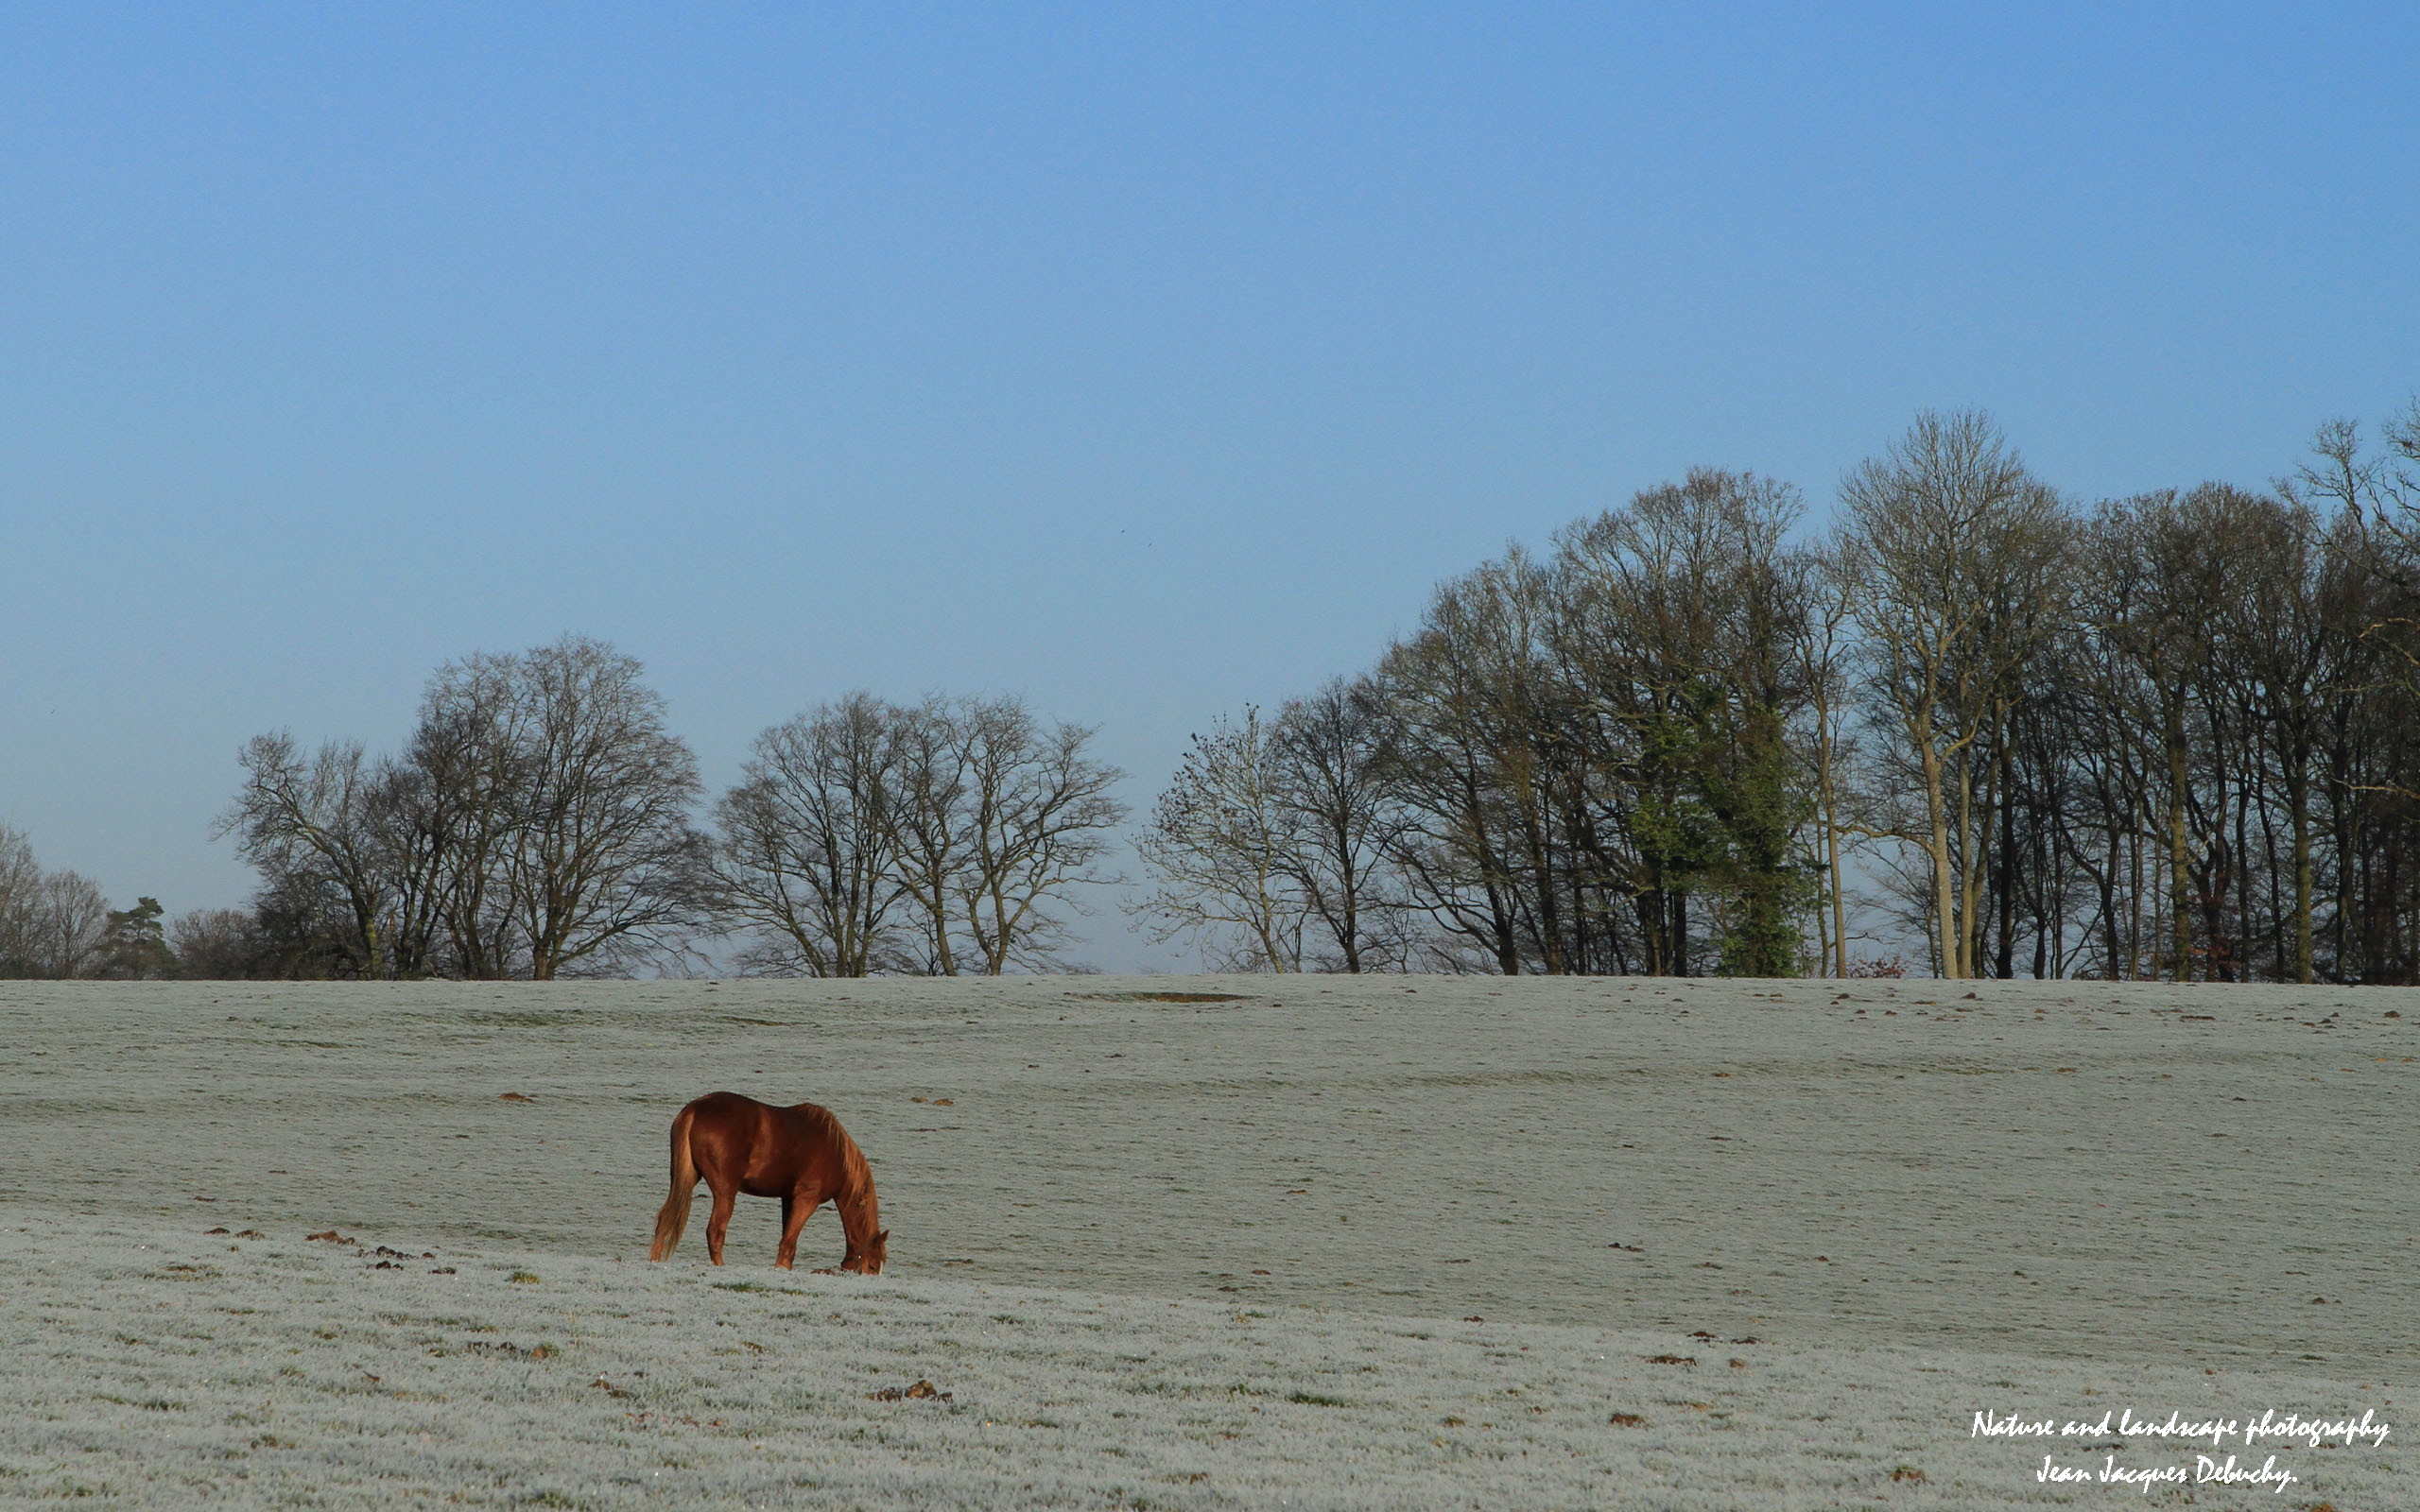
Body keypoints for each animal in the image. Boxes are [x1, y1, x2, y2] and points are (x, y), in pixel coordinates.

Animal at [653, 1089, 890, 1267]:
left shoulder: (788, 1199)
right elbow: (788, 1243)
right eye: (872, 1266)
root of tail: (694, 1110)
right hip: (725, 1192)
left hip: (685, 1178)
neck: (835, 1150)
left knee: (664, 1218)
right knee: (715, 1231)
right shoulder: (807, 1199)